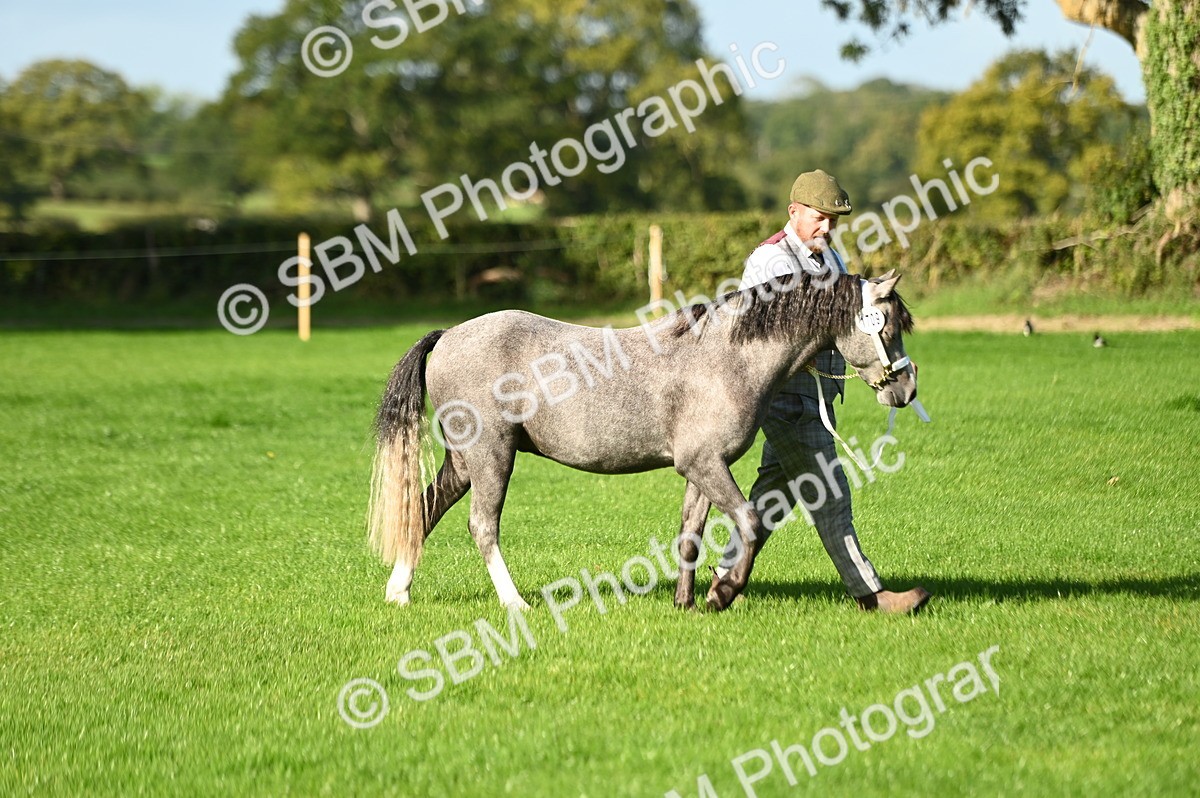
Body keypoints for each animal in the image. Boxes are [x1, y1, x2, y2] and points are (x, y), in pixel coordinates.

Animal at [368, 269, 916, 612]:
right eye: (887, 324)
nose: (906, 389)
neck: (726, 358)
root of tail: (447, 335)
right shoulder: (705, 464)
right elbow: (751, 521)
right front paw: (723, 593)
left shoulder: (701, 468)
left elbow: (691, 533)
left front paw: (687, 602)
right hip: (491, 457)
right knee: (481, 526)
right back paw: (515, 602)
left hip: (464, 461)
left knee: (424, 508)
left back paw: (399, 592)